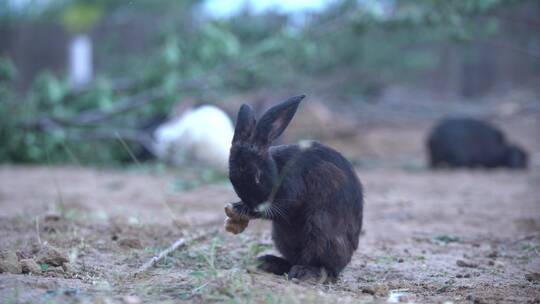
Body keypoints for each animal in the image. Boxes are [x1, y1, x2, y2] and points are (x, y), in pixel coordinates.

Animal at [228, 95, 362, 282]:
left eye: (258, 176)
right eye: (232, 178)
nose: (253, 206)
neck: (277, 169)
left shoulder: (291, 195)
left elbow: (283, 208)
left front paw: (242, 209)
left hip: (319, 228)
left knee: (328, 268)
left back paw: (304, 272)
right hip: (281, 236)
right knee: (293, 260)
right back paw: (267, 262)